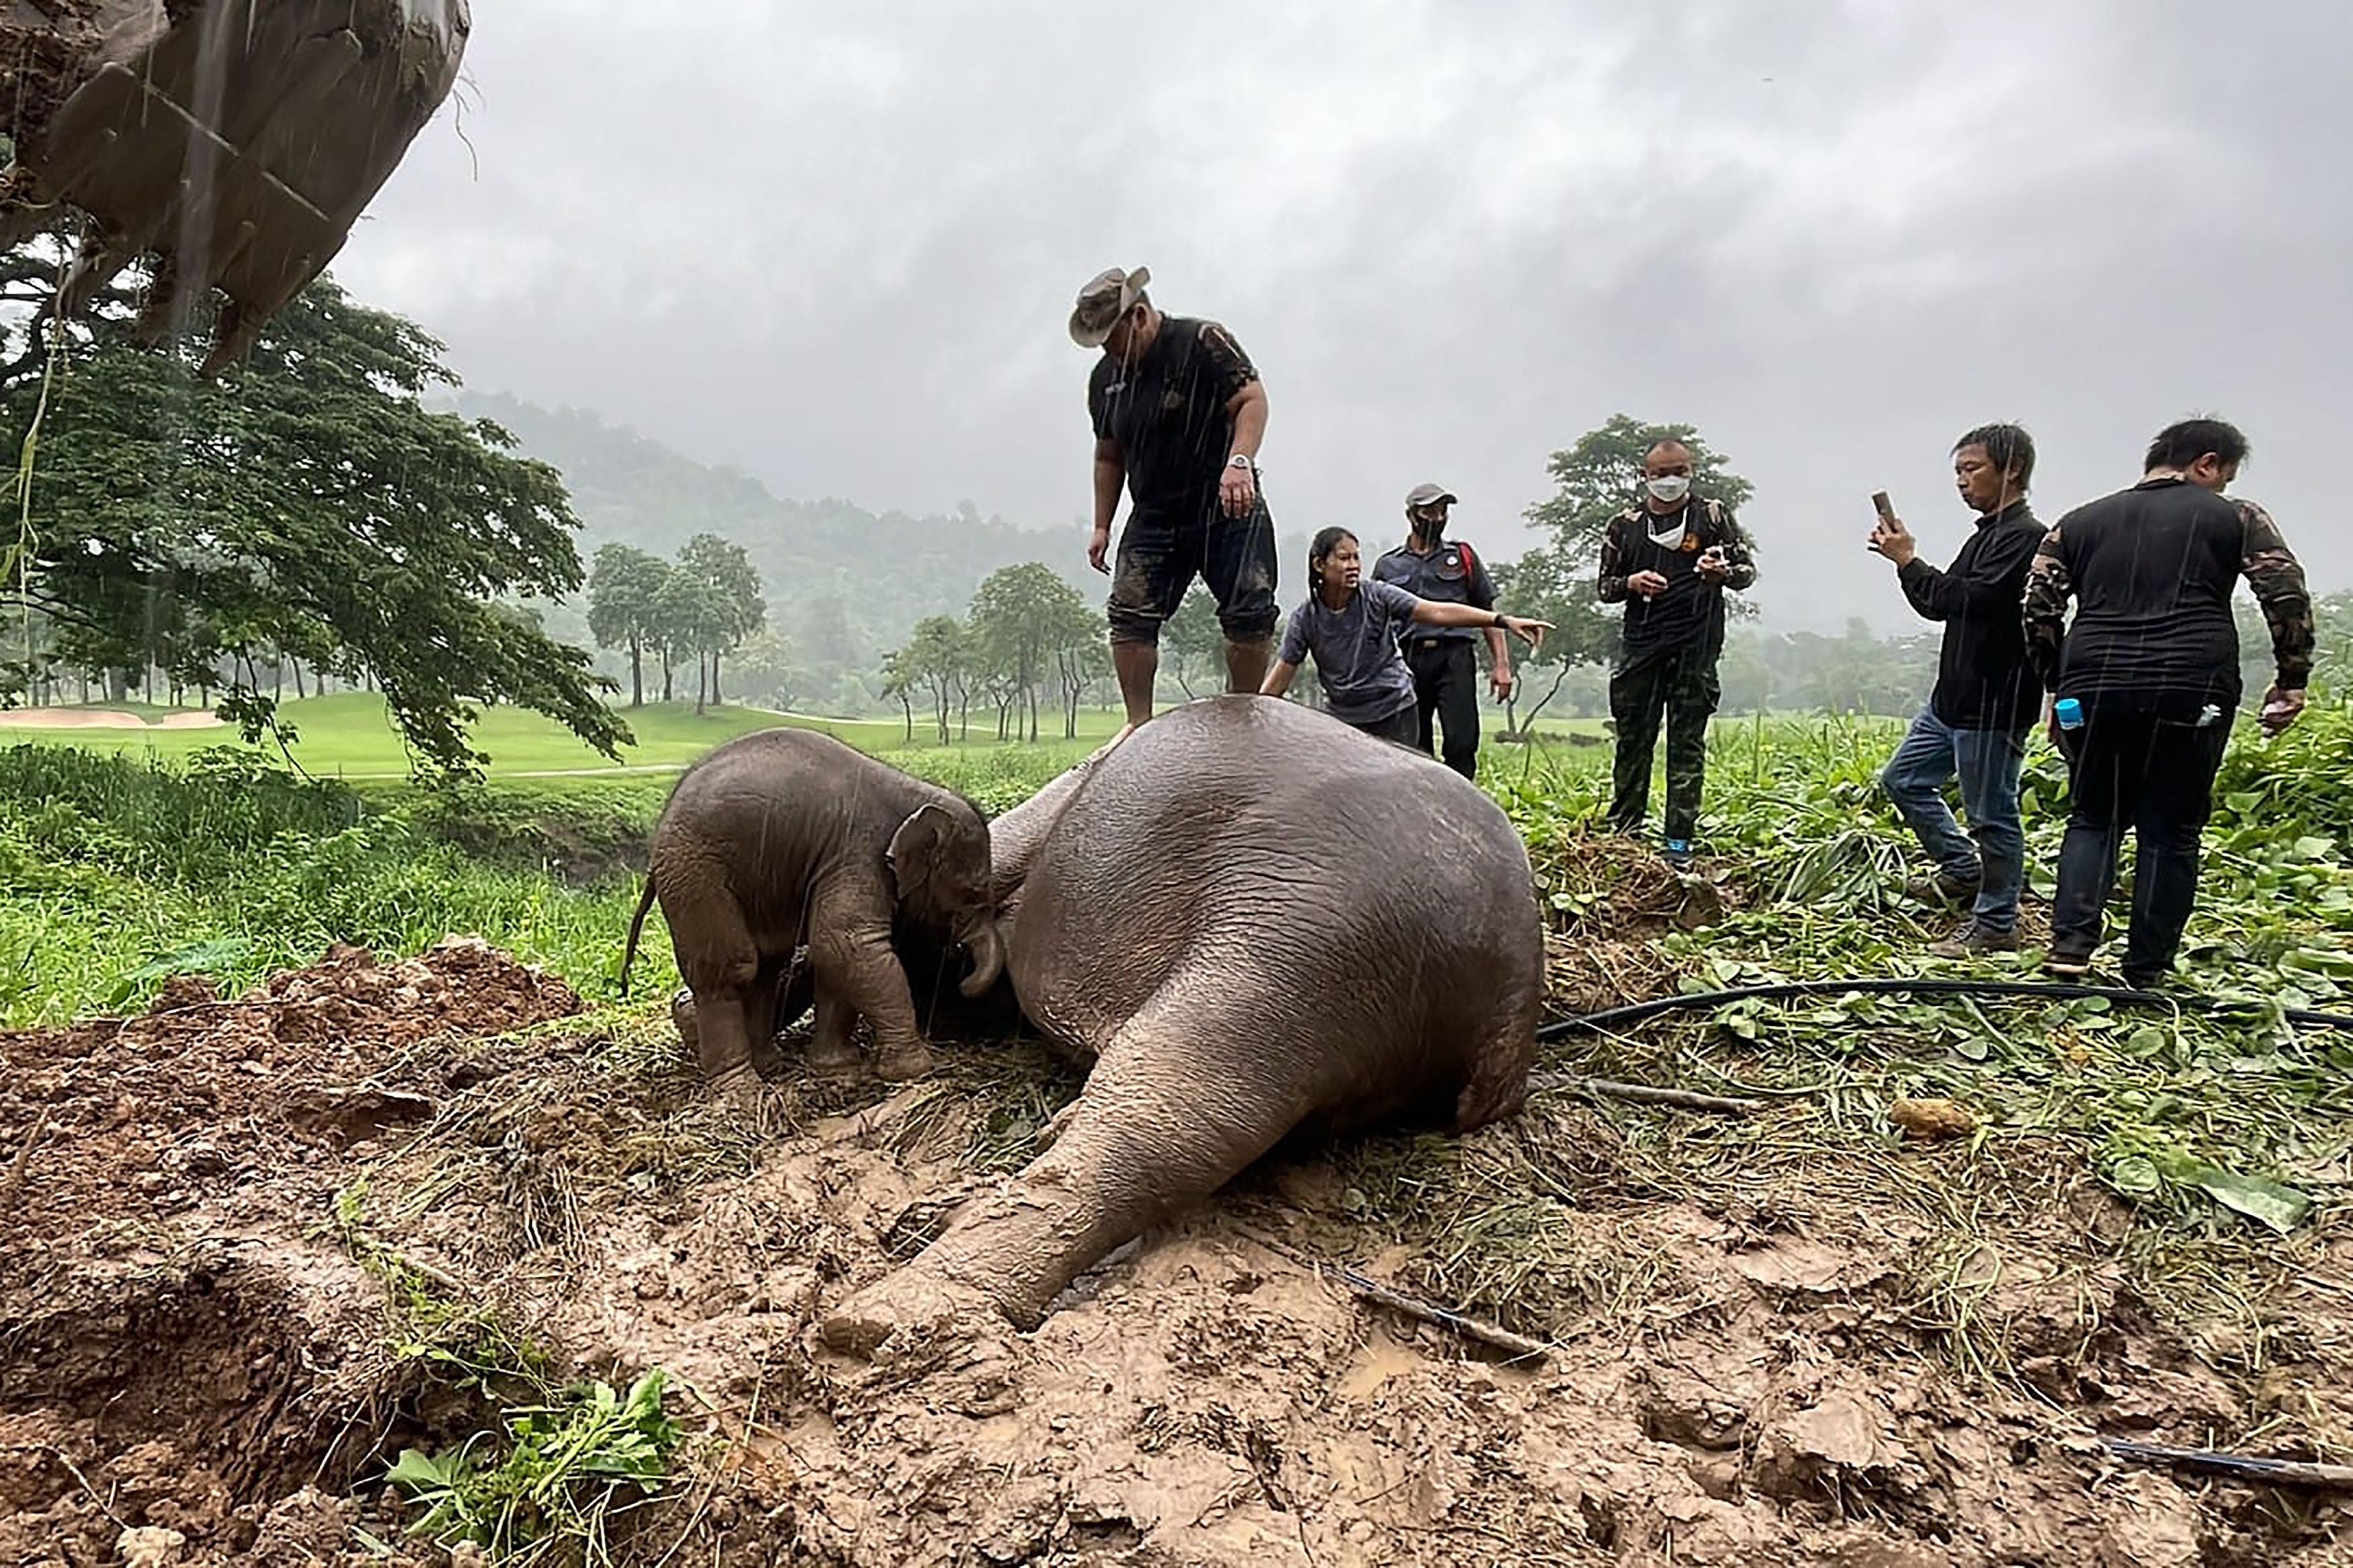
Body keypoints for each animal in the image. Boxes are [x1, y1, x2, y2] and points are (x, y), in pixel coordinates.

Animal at [616, 729, 1002, 1104]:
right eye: (974, 892)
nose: (964, 982)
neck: (915, 794)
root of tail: (657, 840)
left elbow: (832, 957)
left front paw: (837, 1069)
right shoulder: (858, 853)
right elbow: (845, 944)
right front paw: (915, 1070)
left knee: (767, 965)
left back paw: (769, 1064)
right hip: (695, 871)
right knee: (731, 968)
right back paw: (741, 1092)